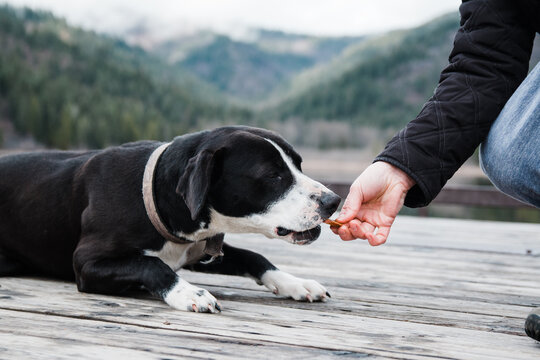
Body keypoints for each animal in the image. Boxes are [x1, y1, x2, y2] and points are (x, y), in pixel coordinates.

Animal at [0, 126, 340, 312]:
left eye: (298, 164)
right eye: (272, 176)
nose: (333, 201)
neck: (153, 193)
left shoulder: (197, 250)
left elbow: (254, 257)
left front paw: (295, 283)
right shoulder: (87, 263)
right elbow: (151, 264)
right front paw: (187, 292)